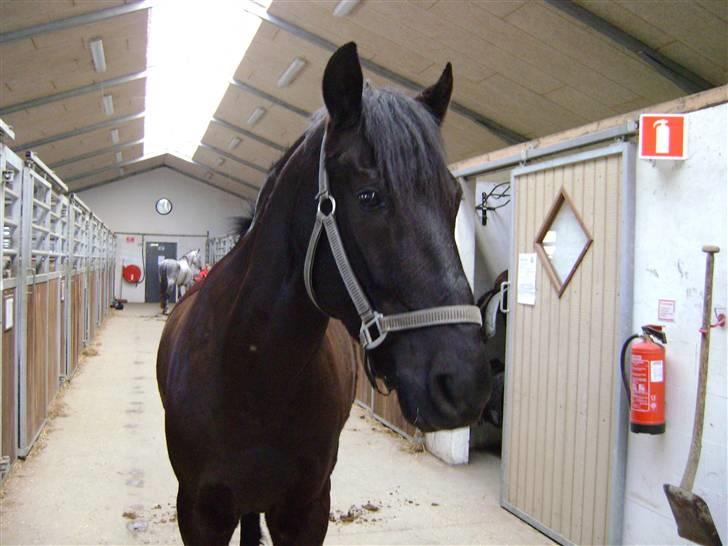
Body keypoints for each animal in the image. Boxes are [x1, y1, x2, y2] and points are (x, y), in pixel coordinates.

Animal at [156, 42, 493, 546]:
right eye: (370, 197)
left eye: (453, 199)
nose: (465, 383)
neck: (251, 378)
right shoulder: (198, 512)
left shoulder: (307, 510)